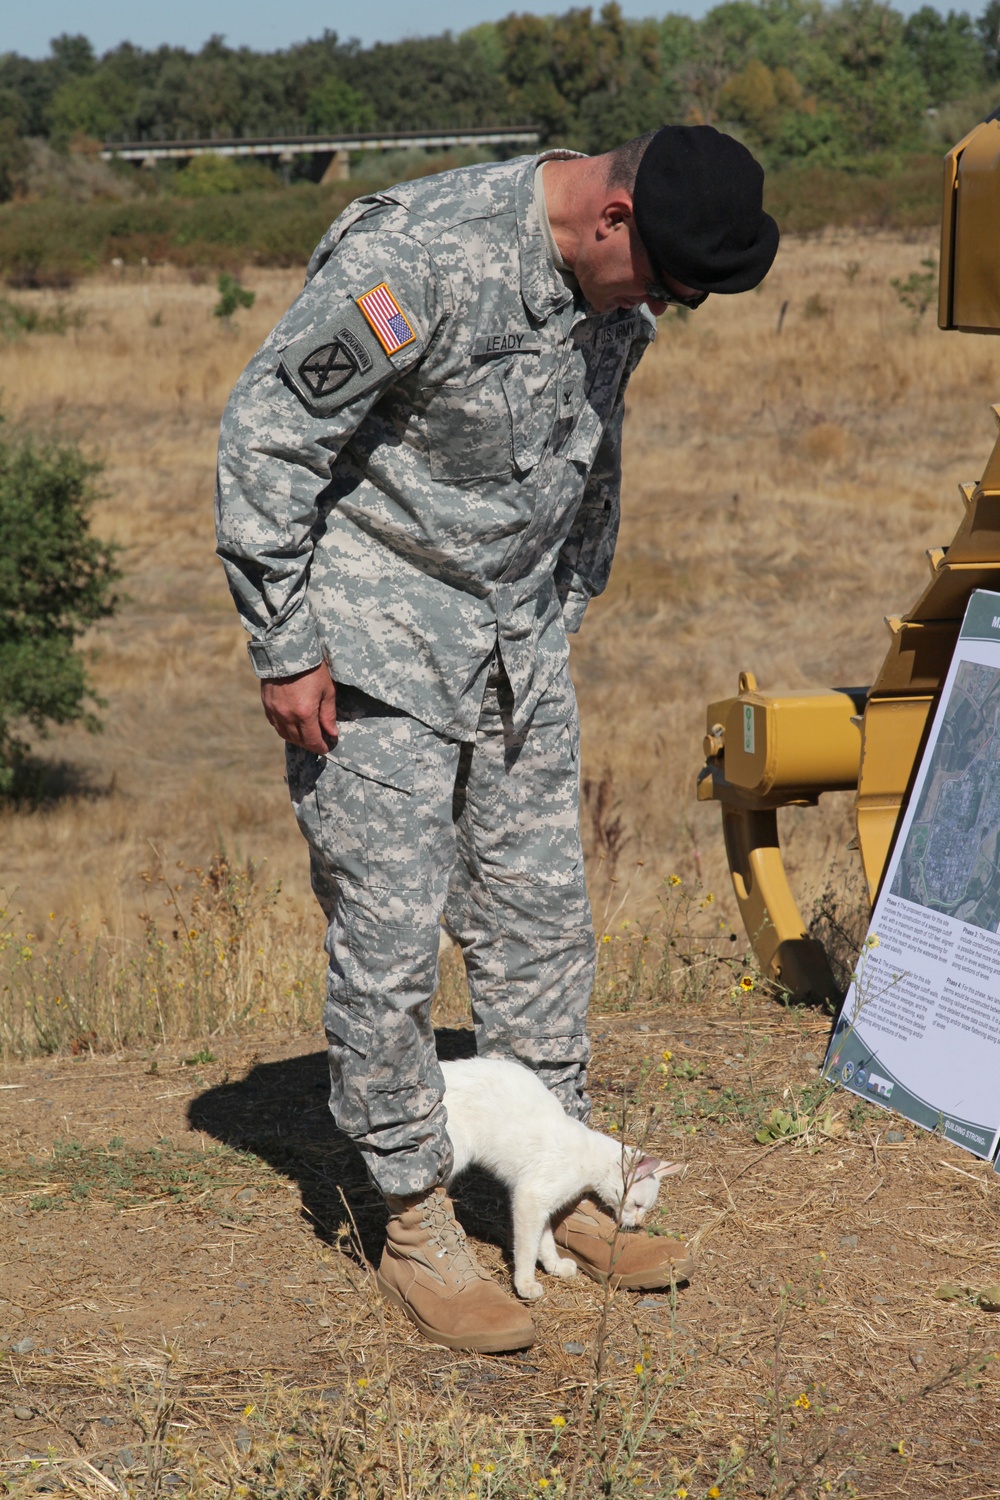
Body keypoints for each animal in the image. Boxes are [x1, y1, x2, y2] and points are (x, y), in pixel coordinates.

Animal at [440, 1056, 683, 1302]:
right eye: (637, 1205)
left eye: (645, 1209)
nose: (637, 1224)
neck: (588, 1156)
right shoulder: (530, 1197)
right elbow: (528, 1247)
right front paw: (525, 1283)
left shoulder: (540, 1203)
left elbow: (544, 1238)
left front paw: (554, 1265)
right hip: (453, 1156)